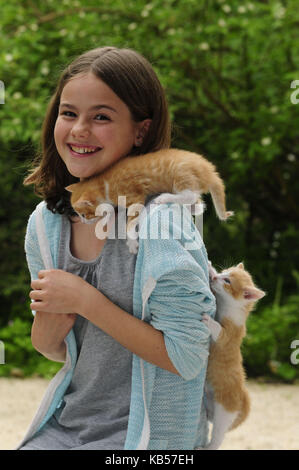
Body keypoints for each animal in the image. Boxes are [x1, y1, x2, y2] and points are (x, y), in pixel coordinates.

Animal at [66, 150, 234, 253]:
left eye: (83, 214)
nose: (83, 221)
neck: (104, 183)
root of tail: (208, 169)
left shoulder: (134, 197)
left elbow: (129, 223)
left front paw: (132, 243)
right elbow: (110, 210)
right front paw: (106, 218)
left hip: (180, 175)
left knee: (190, 196)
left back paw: (165, 197)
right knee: (200, 204)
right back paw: (191, 208)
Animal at [202, 262, 268, 450]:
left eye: (227, 281)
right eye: (224, 272)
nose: (214, 278)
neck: (231, 308)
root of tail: (243, 396)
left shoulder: (227, 335)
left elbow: (218, 330)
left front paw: (210, 321)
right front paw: (210, 267)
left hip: (225, 412)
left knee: (219, 435)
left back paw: (208, 446)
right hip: (214, 406)